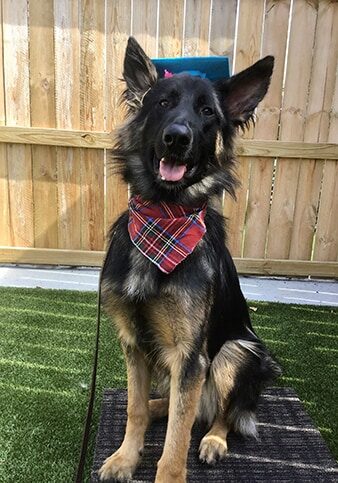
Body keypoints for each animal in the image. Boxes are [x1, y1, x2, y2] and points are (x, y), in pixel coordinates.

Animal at [98, 36, 280, 482]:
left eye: (207, 112)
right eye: (162, 103)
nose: (177, 138)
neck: (164, 217)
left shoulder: (190, 355)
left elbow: (177, 438)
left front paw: (168, 471)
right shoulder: (133, 342)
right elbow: (134, 409)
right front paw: (126, 457)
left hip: (239, 352)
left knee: (217, 414)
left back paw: (214, 440)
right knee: (178, 405)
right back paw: (156, 406)